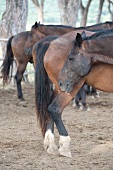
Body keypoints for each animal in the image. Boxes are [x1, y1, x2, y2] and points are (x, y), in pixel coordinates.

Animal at [31, 29, 96, 158]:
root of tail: (49, 42)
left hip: (59, 86)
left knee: (49, 107)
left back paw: (50, 144)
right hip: (67, 87)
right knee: (55, 108)